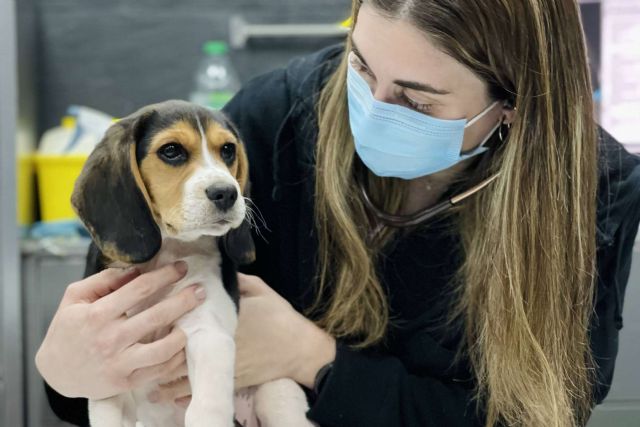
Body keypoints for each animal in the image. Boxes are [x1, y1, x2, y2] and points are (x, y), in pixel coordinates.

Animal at [71, 101, 316, 427]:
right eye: (171, 151)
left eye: (228, 150)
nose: (227, 192)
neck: (167, 251)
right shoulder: (112, 368)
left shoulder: (207, 332)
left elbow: (205, 411)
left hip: (278, 392)